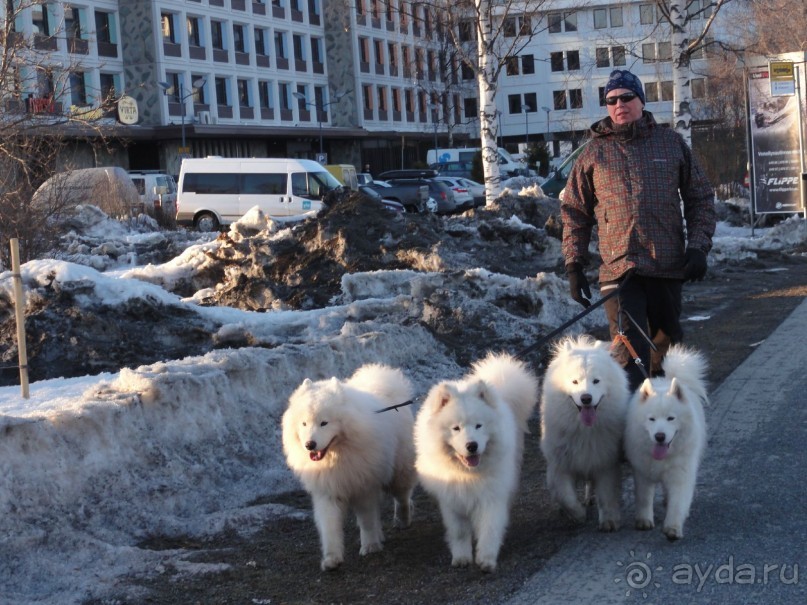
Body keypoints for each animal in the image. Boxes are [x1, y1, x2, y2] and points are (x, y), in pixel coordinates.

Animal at [282, 364, 416, 572]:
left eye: (324, 423)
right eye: (304, 423)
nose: (310, 445)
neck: (336, 457)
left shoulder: (363, 487)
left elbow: (367, 520)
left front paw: (370, 546)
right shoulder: (327, 491)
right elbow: (329, 527)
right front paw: (331, 558)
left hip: (398, 471)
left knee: (402, 497)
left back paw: (402, 519)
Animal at [414, 352, 540, 568]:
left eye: (479, 426)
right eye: (456, 428)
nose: (472, 445)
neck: (467, 474)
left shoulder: (491, 496)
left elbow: (490, 528)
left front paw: (486, 559)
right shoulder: (451, 500)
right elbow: (459, 532)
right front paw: (461, 557)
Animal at [540, 336, 636, 528]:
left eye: (596, 381)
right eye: (574, 382)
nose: (586, 398)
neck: (584, 430)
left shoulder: (605, 460)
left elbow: (606, 494)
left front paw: (609, 521)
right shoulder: (560, 463)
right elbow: (565, 496)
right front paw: (577, 514)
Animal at [624, 346, 708, 540]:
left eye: (671, 418)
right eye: (652, 419)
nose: (660, 436)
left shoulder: (680, 474)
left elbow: (677, 502)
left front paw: (673, 528)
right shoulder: (642, 471)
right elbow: (644, 498)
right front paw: (644, 520)